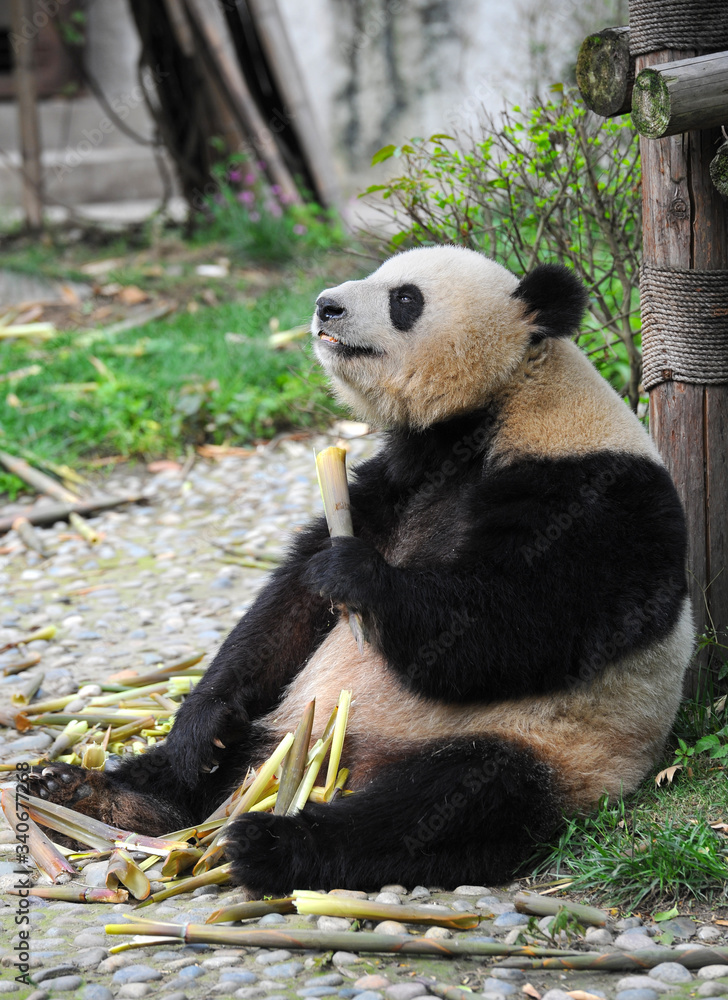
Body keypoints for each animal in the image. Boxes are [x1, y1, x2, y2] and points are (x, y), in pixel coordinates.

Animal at [31, 246, 692, 894]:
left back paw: (271, 843)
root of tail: (352, 764)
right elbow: (287, 609)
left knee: (452, 799)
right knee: (210, 766)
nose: (326, 306)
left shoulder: (596, 494)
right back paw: (91, 794)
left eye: (405, 298)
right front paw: (202, 723)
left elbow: (517, 625)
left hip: (552, 749)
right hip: (293, 728)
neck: (492, 411)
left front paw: (358, 576)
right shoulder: (392, 483)